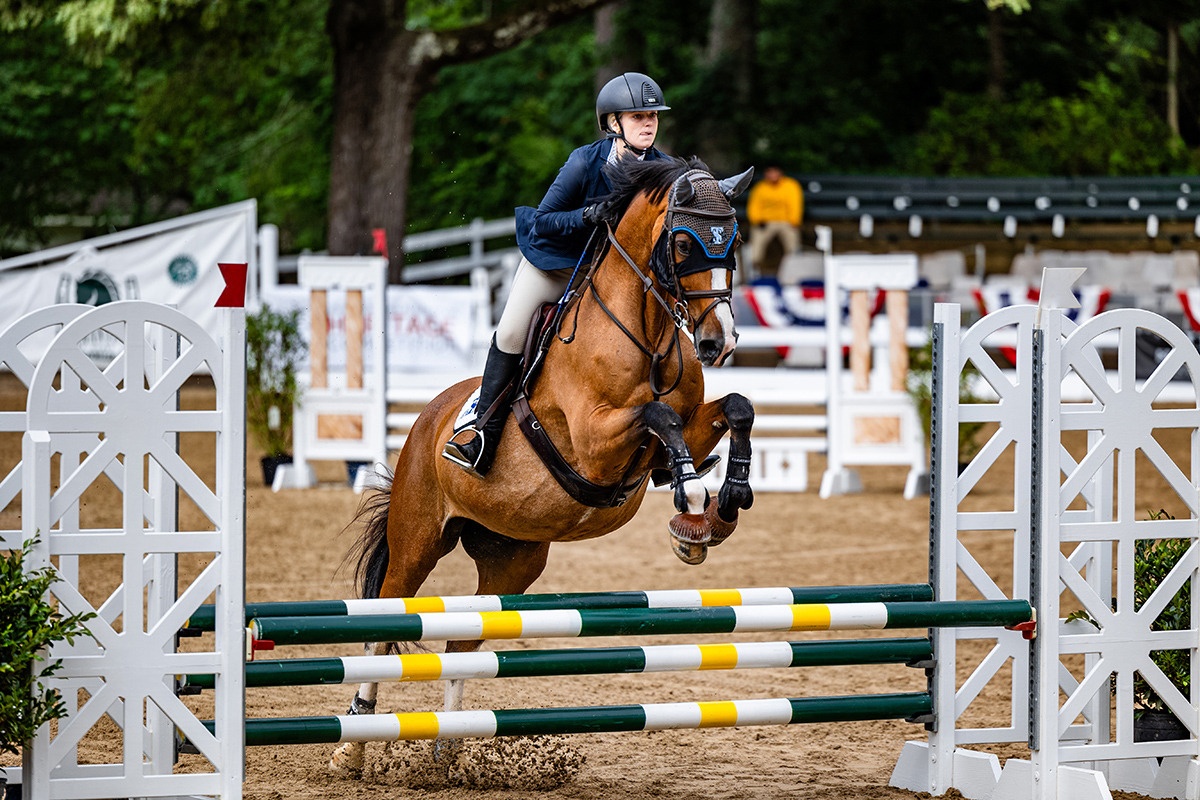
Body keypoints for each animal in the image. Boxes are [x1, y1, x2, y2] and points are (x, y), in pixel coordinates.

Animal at [328, 155, 753, 777]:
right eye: (682, 244)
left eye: (733, 241)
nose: (717, 343)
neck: (647, 332)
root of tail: (427, 420)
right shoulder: (595, 441)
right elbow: (657, 417)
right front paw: (692, 509)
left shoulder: (685, 427)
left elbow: (734, 409)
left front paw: (721, 507)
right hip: (418, 540)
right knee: (385, 625)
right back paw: (352, 748)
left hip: (512, 559)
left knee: (462, 641)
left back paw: (447, 752)